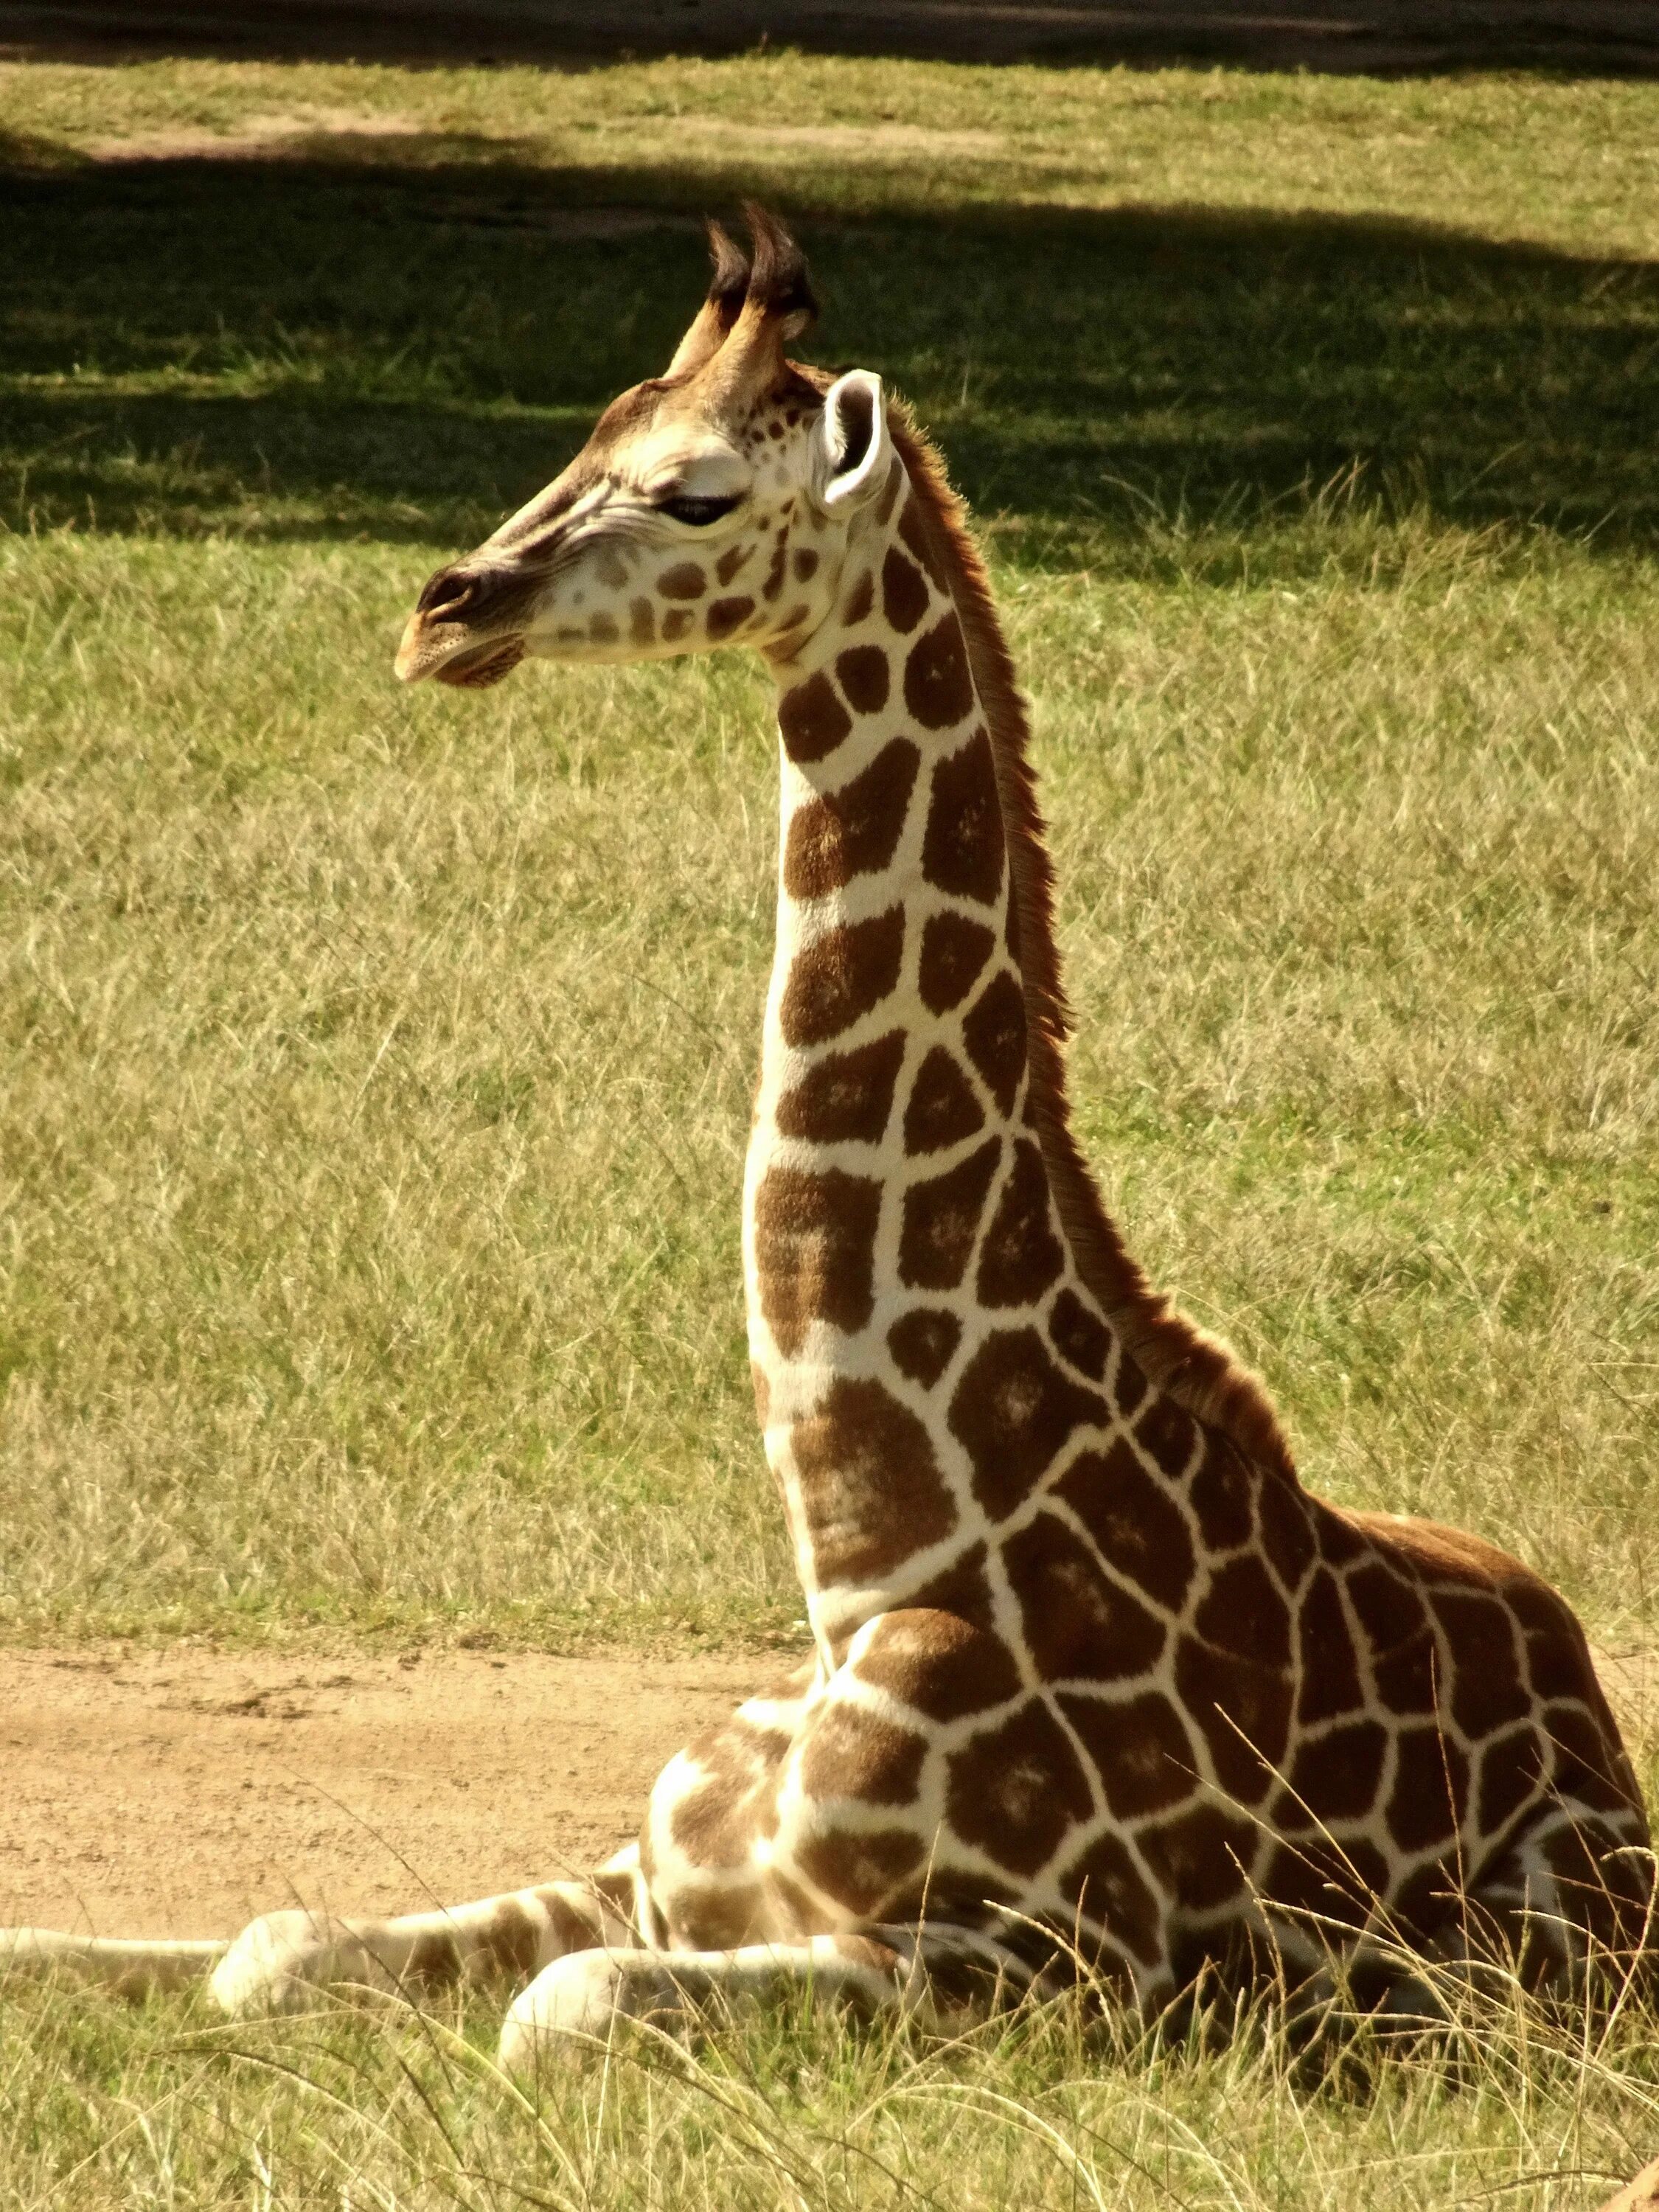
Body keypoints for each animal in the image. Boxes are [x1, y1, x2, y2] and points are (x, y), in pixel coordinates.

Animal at [6, 208, 1655, 2070]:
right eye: (589, 437)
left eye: (698, 493)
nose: (444, 612)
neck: (881, 1554)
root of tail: (1594, 1715)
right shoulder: (656, 1870)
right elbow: (268, 1944)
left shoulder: (1084, 1962)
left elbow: (555, 2011)